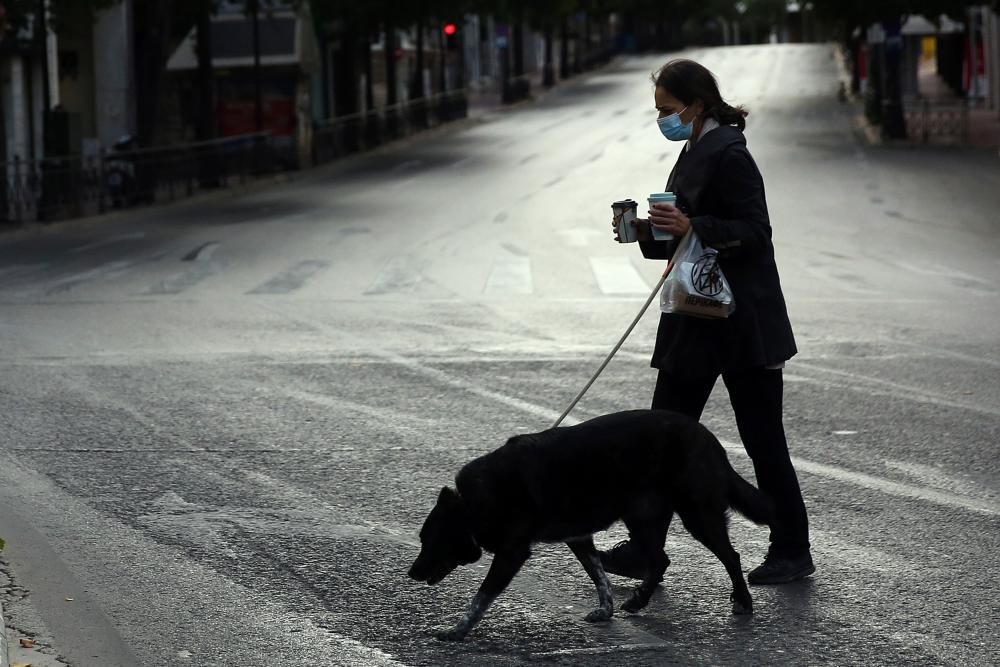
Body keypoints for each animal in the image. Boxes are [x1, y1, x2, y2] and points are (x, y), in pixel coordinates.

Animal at [406, 410, 772, 640]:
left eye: (431, 541)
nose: (411, 573)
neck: (471, 503)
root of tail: (709, 438)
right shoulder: (579, 537)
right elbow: (599, 576)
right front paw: (605, 610)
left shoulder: (512, 552)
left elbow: (481, 596)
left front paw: (457, 630)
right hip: (641, 517)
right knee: (660, 560)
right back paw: (639, 601)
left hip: (696, 513)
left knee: (730, 556)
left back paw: (743, 601)